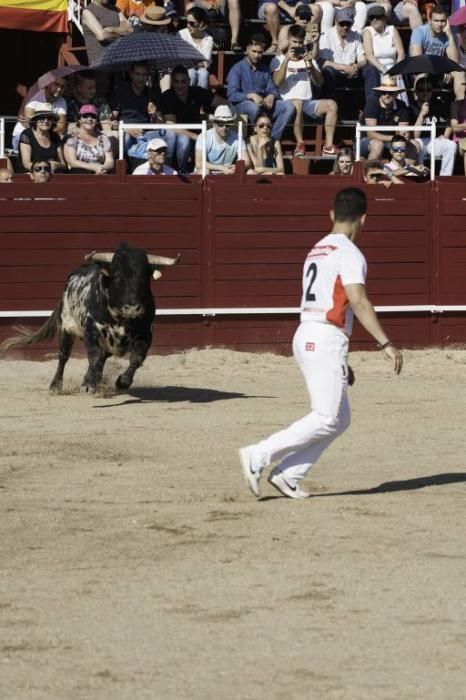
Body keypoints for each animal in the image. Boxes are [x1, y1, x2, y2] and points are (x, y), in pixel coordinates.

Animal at [0, 243, 180, 392]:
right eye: (117, 276)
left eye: (145, 278)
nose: (133, 308)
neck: (121, 318)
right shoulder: (91, 331)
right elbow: (93, 356)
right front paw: (90, 385)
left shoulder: (145, 334)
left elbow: (136, 359)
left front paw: (122, 382)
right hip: (65, 328)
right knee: (63, 356)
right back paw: (56, 386)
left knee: (101, 358)